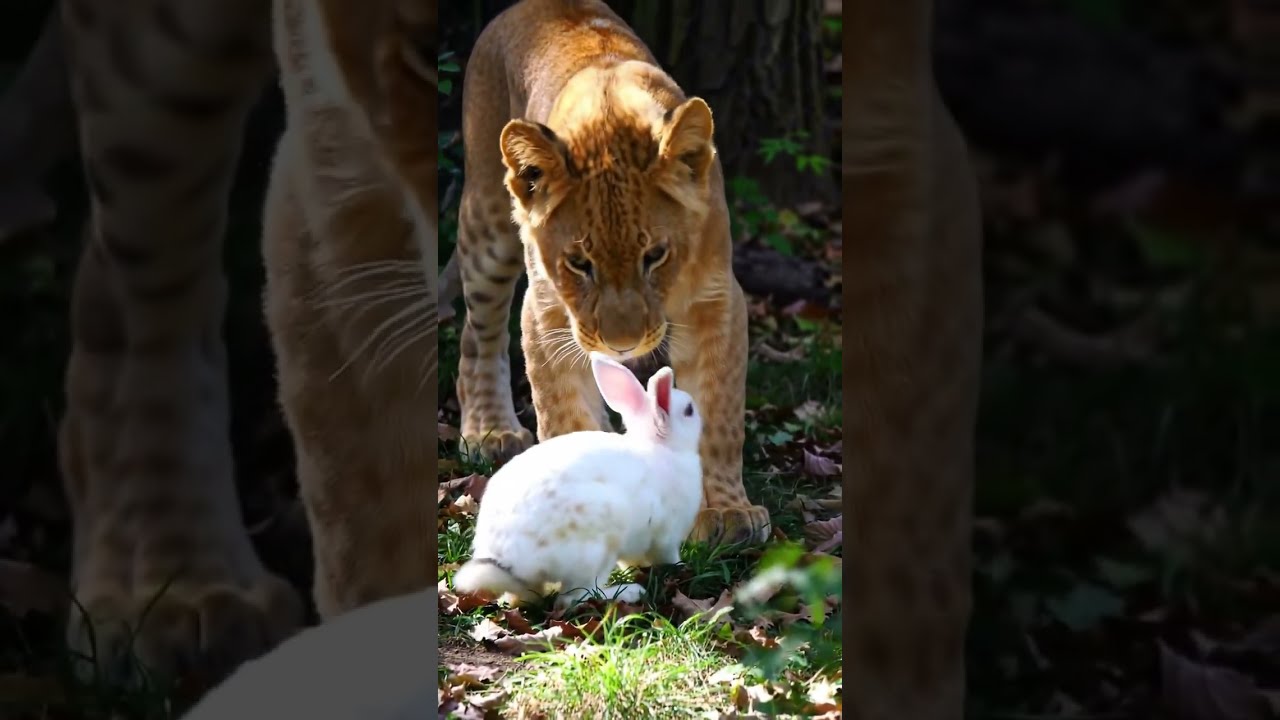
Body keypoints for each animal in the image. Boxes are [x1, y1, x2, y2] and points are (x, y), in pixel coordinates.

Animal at [452, 350, 704, 609]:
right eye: (688, 410)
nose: (697, 409)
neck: (664, 448)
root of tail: (511, 561)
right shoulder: (667, 536)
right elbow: (668, 555)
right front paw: (680, 567)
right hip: (599, 542)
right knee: (575, 596)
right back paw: (629, 592)